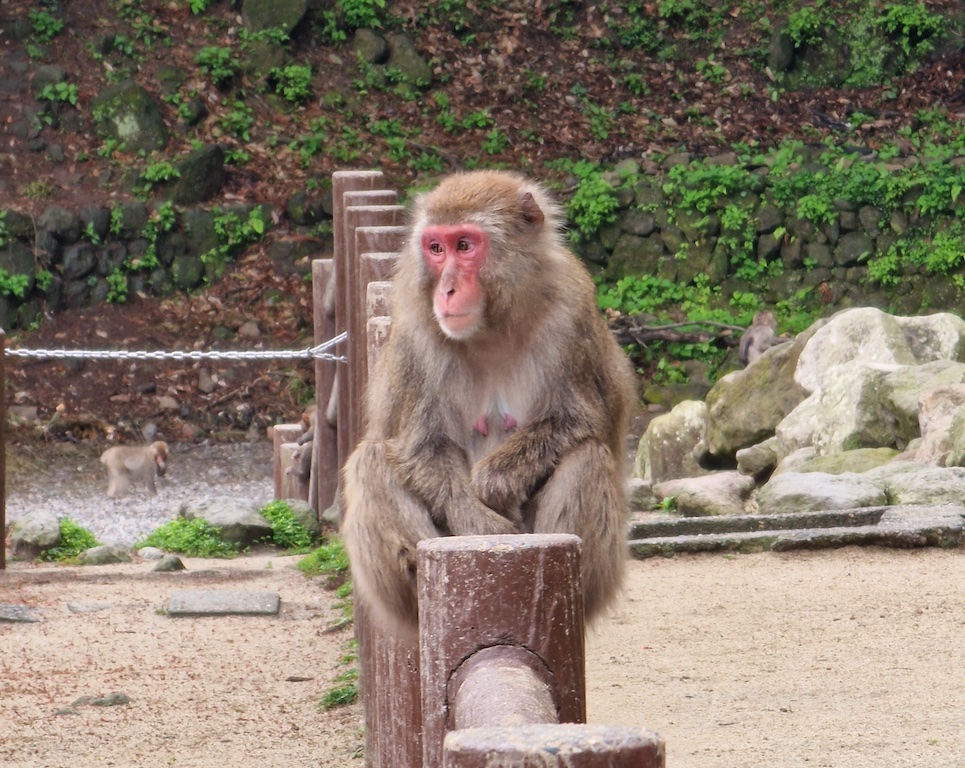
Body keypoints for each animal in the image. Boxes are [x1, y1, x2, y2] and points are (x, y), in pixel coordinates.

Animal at [340, 170, 637, 633]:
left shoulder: (573, 316)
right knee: (371, 461)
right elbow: (423, 445)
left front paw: (494, 482)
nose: (446, 290)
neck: (493, 325)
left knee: (586, 457)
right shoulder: (415, 334)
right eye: (436, 248)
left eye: (465, 245)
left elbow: (582, 419)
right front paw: (481, 521)